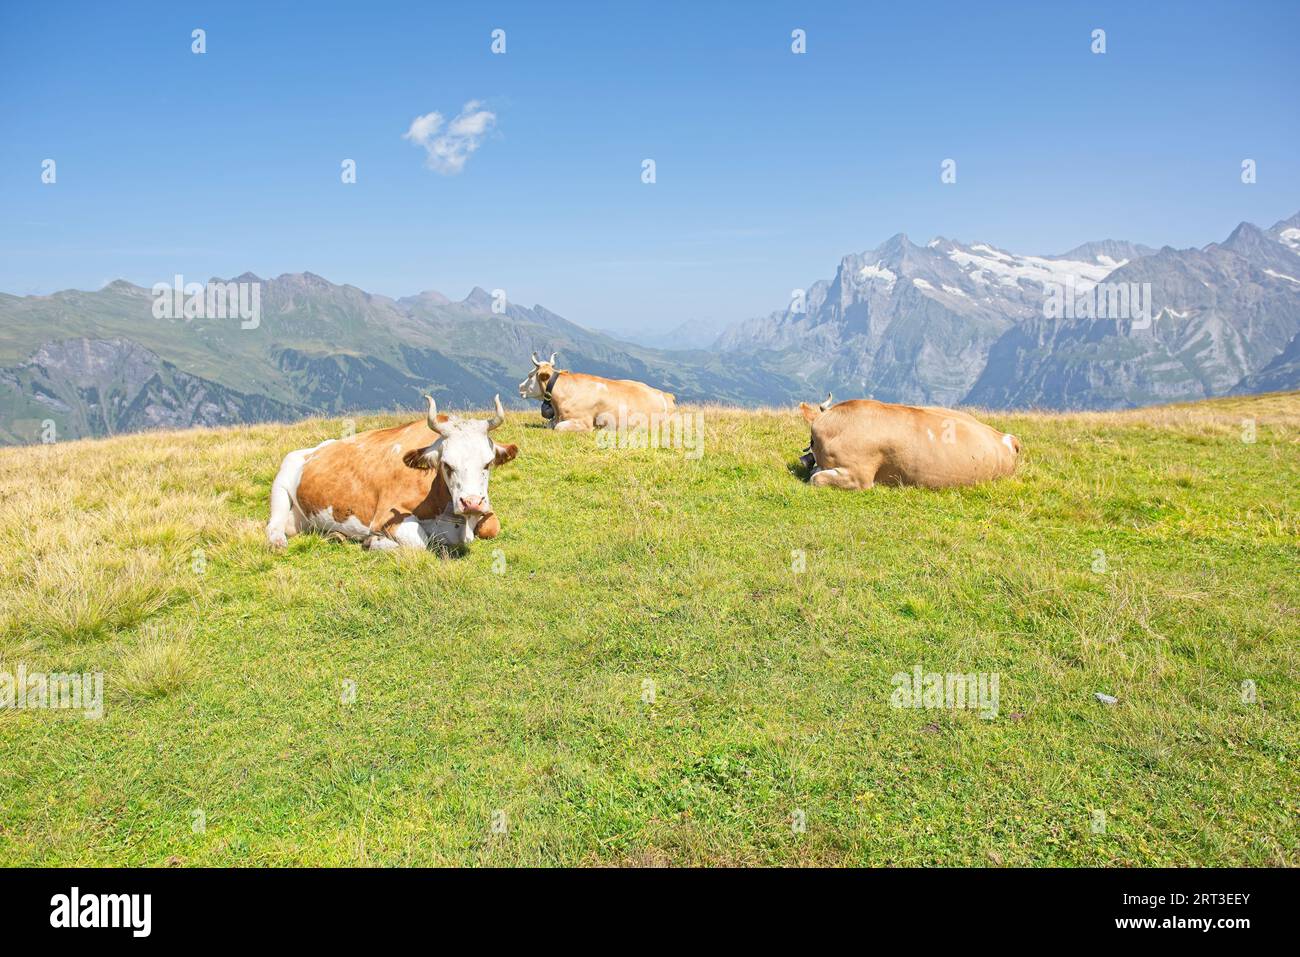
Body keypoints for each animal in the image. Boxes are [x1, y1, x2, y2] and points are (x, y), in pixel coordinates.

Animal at [265, 395, 518, 551]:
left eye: (487, 464)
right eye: (447, 464)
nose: (471, 502)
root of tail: (316, 448)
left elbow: (493, 527)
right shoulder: (385, 516)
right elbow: (420, 542)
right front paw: (373, 543)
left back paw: (336, 535)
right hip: (282, 482)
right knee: (274, 525)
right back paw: (278, 542)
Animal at [518, 352, 676, 431]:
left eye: (530, 375)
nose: (520, 386)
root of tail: (666, 395)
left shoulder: (583, 421)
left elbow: (558, 427)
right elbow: (550, 424)